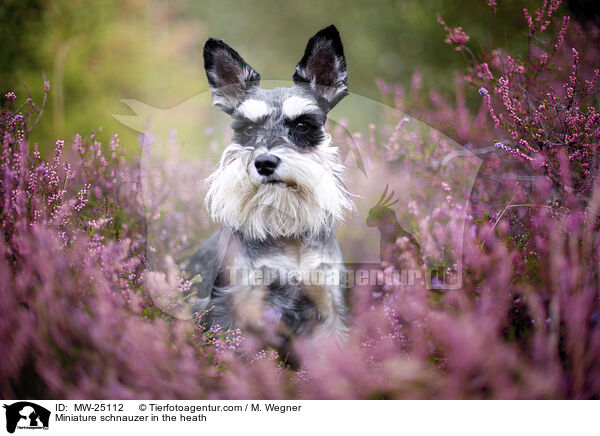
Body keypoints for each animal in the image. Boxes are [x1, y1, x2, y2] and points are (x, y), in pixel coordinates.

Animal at [188, 24, 354, 358]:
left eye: (302, 125)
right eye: (248, 129)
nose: (264, 162)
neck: (287, 234)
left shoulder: (327, 305)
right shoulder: (233, 307)